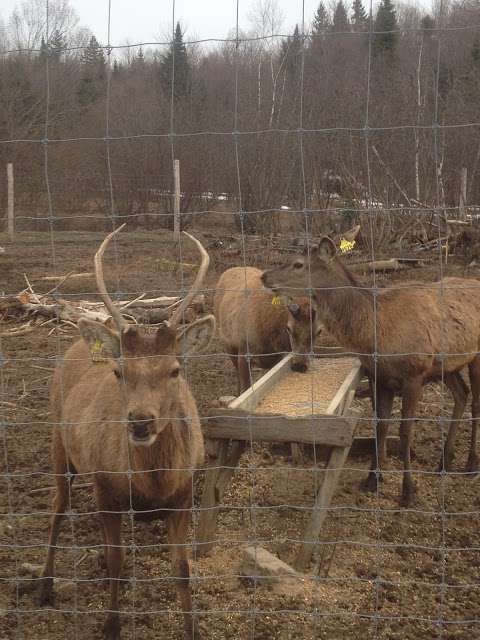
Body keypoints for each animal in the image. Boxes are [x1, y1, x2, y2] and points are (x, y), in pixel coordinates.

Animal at [38, 228, 215, 636]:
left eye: (175, 369)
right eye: (119, 371)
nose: (140, 420)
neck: (153, 484)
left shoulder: (185, 493)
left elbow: (182, 569)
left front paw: (192, 628)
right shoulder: (105, 487)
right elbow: (118, 563)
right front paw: (110, 625)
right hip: (58, 440)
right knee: (57, 508)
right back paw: (44, 586)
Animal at [215, 264, 322, 396]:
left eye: (319, 331)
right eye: (289, 328)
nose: (300, 365)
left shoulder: (277, 357)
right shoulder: (244, 350)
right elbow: (246, 387)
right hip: (227, 343)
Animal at [262, 238, 480, 508]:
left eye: (298, 264)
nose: (264, 276)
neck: (375, 335)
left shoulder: (414, 375)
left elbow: (405, 432)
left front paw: (408, 491)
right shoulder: (380, 377)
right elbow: (380, 427)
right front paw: (372, 479)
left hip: (474, 357)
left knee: (475, 403)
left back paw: (470, 463)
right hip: (446, 365)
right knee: (462, 394)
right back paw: (444, 461)